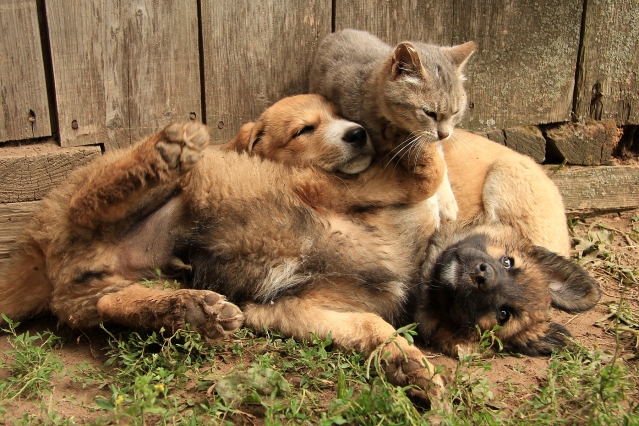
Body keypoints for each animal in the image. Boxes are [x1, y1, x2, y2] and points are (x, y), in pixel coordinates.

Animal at [0, 95, 600, 404]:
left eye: (503, 314)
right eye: (506, 262)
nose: (479, 276)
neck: (417, 264)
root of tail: (43, 254)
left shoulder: (297, 309)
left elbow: (374, 330)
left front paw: (410, 367)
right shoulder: (337, 188)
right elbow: (428, 169)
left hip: (108, 285)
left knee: (103, 301)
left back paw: (191, 311)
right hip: (141, 194)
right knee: (95, 201)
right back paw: (166, 153)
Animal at [310, 29, 476, 223]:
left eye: (455, 112)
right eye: (429, 113)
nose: (445, 135)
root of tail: (338, 32)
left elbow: (440, 165)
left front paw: (447, 201)